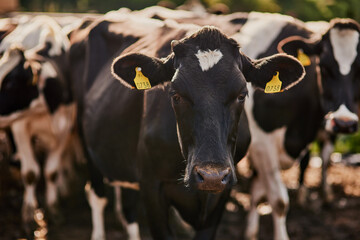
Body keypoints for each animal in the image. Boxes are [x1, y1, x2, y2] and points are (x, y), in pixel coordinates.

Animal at [0, 15, 75, 228]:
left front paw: (54, 209)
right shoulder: (20, 127)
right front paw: (29, 216)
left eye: (10, 83)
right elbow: (31, 173)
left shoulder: (65, 128)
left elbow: (52, 171)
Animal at [71, 13, 306, 240]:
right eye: (175, 95)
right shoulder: (151, 186)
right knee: (97, 196)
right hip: (87, 145)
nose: (211, 175)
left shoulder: (222, 192)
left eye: (242, 95)